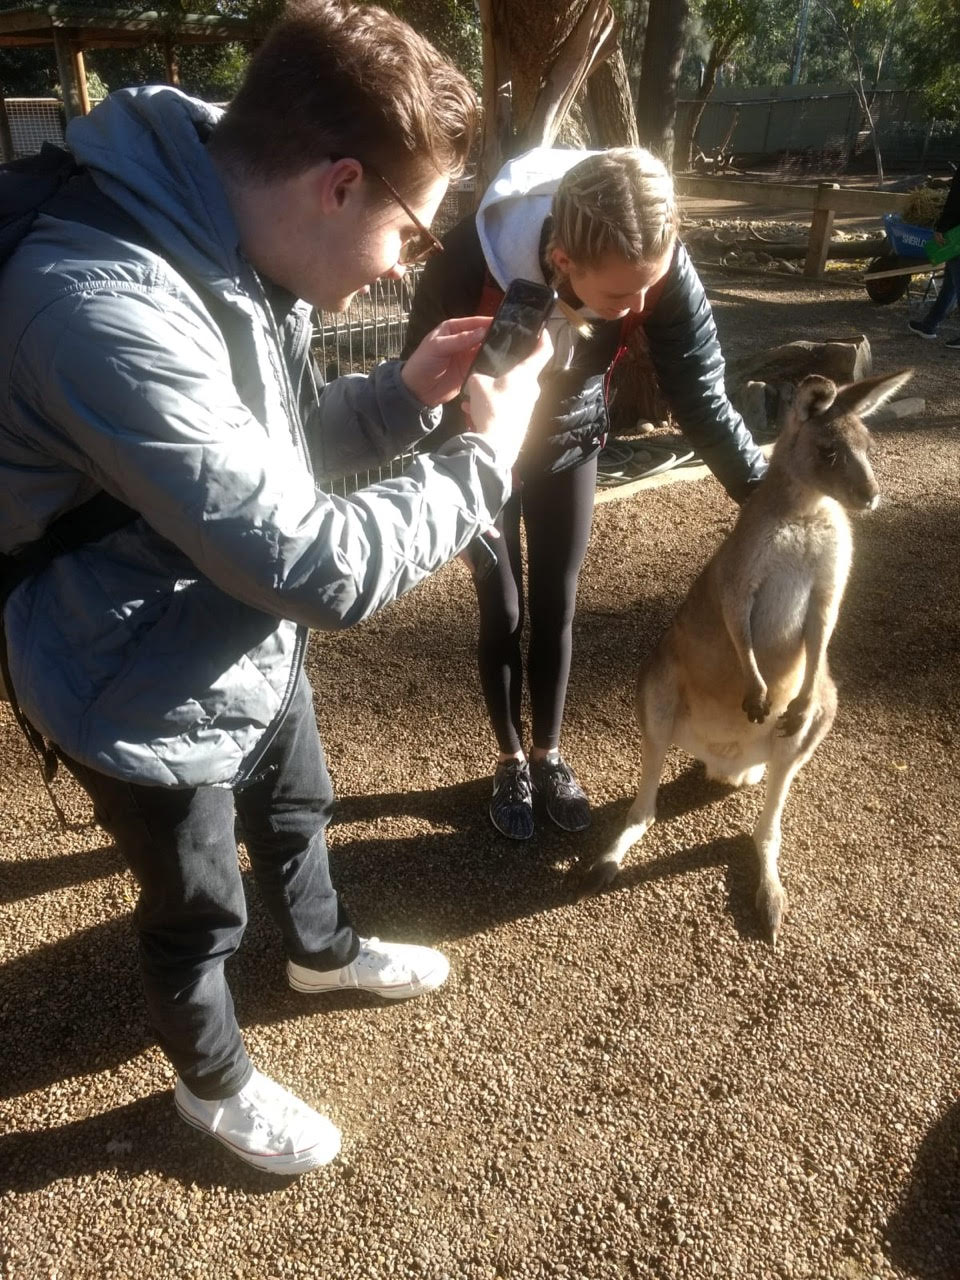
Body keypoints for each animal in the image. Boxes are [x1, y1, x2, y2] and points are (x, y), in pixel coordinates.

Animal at [576, 369, 912, 944]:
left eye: (869, 448)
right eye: (828, 452)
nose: (871, 497)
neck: (807, 509)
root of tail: (727, 762)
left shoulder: (830, 580)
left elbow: (824, 625)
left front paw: (778, 696)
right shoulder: (741, 575)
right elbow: (739, 622)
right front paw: (756, 691)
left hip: (817, 715)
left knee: (767, 826)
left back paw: (770, 899)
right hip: (659, 685)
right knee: (646, 809)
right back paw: (606, 863)